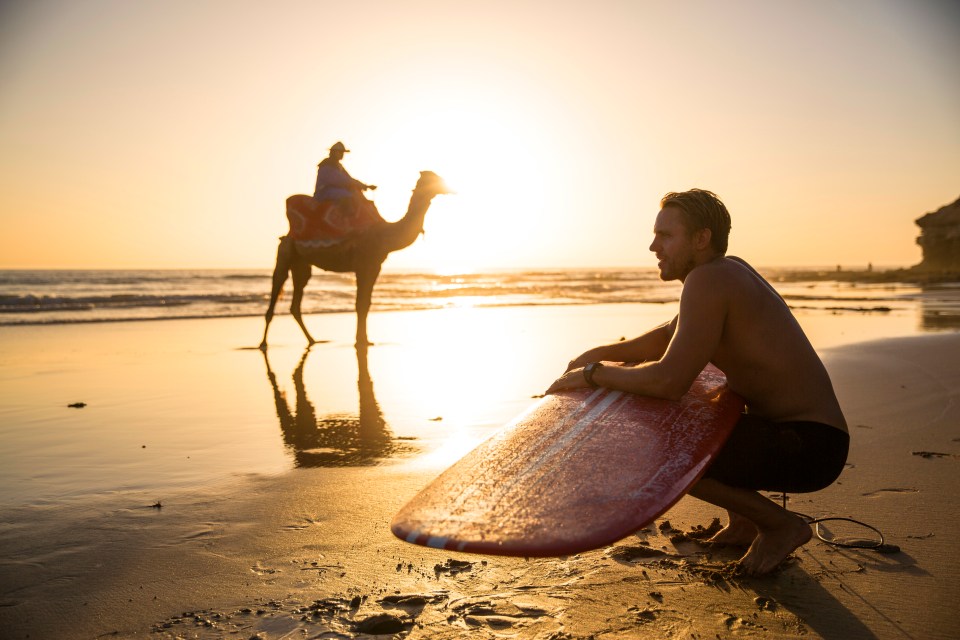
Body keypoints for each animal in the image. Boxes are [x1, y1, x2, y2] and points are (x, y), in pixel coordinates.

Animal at [256, 170, 448, 350]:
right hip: (285, 253)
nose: (448, 187)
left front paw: (365, 341)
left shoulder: (375, 266)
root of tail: (287, 235)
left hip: (301, 263)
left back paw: (313, 340)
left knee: (296, 301)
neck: (384, 234)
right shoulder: (364, 264)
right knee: (277, 285)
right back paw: (263, 343)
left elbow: (366, 303)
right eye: (432, 179)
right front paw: (360, 340)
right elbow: (360, 304)